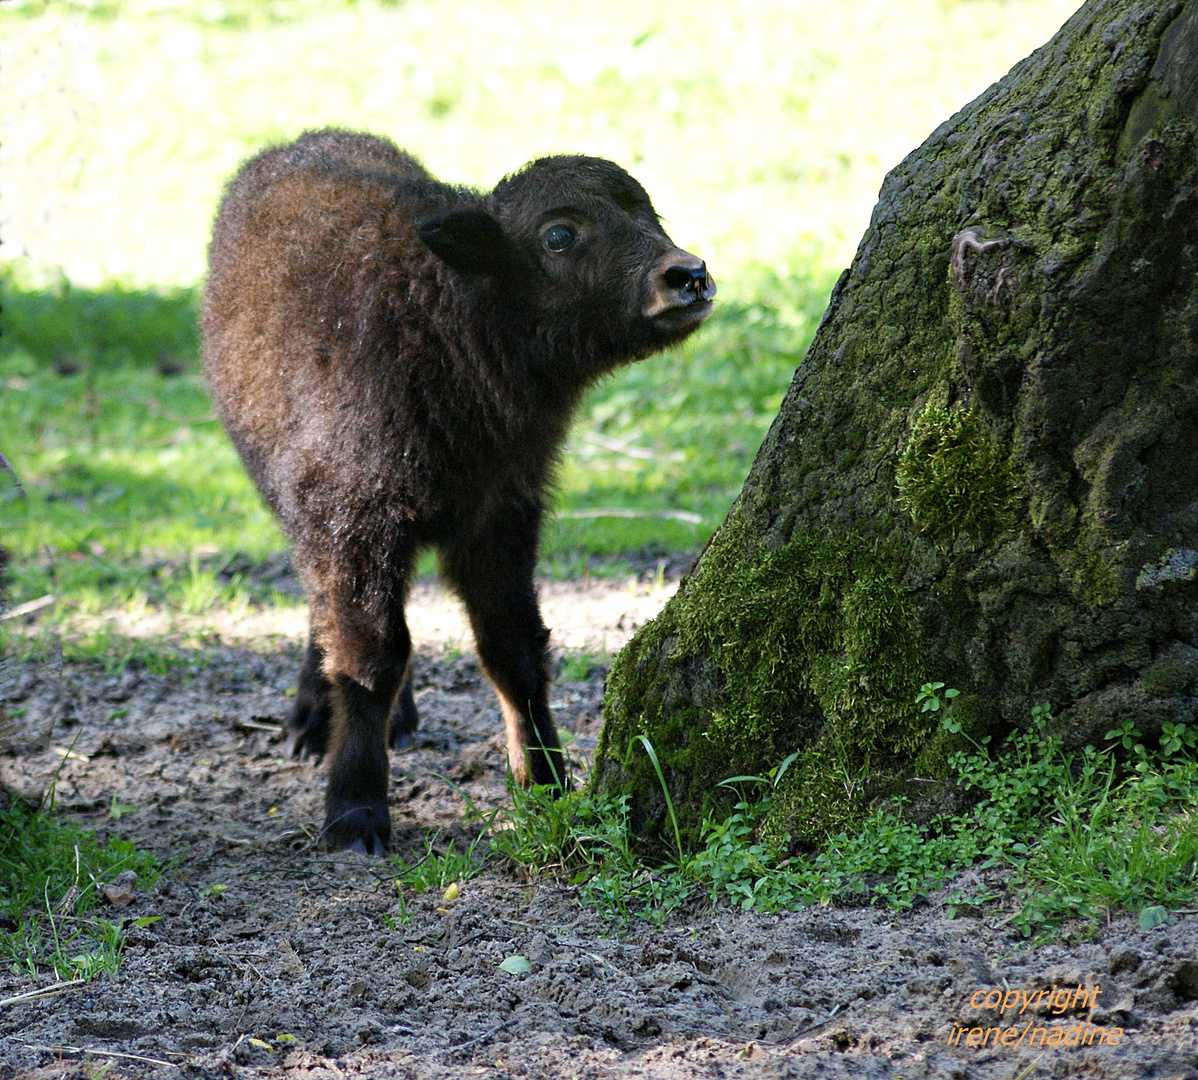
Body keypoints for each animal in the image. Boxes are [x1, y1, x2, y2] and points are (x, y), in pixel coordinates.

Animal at [201, 128, 714, 852]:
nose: (687, 276)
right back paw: (311, 723)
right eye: (559, 235)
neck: (444, 314)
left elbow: (513, 648)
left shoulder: (500, 518)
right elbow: (371, 656)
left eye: (646, 212)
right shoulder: (355, 524)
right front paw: (355, 812)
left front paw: (547, 782)